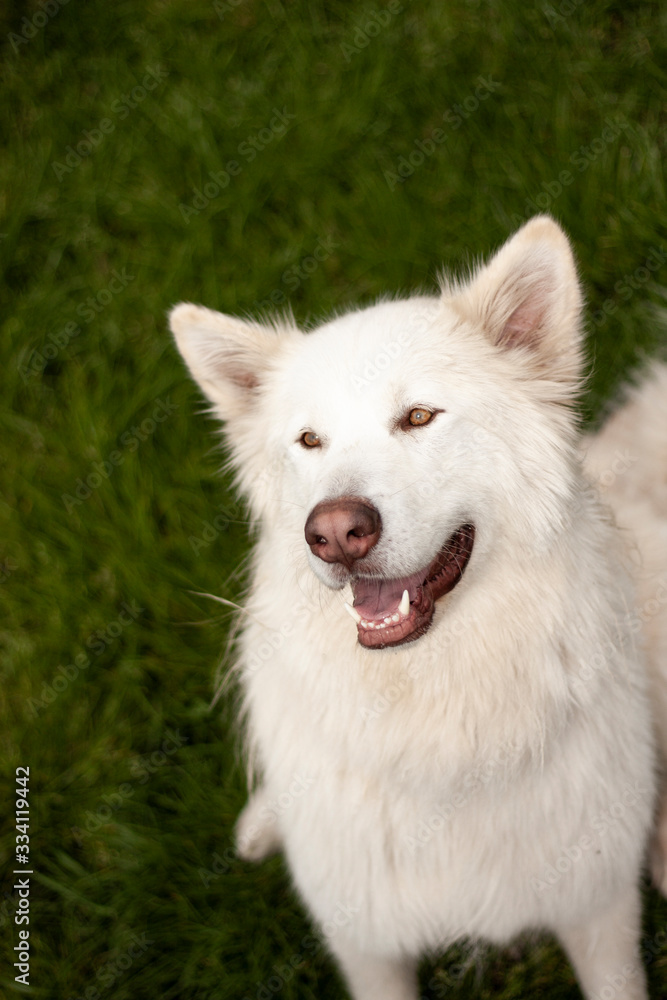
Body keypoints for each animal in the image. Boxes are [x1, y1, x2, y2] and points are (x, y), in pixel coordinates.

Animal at [170, 219, 664, 1000]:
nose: (334, 531)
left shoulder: (599, 908)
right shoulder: (364, 939)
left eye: (419, 417)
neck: (427, 711)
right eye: (309, 440)